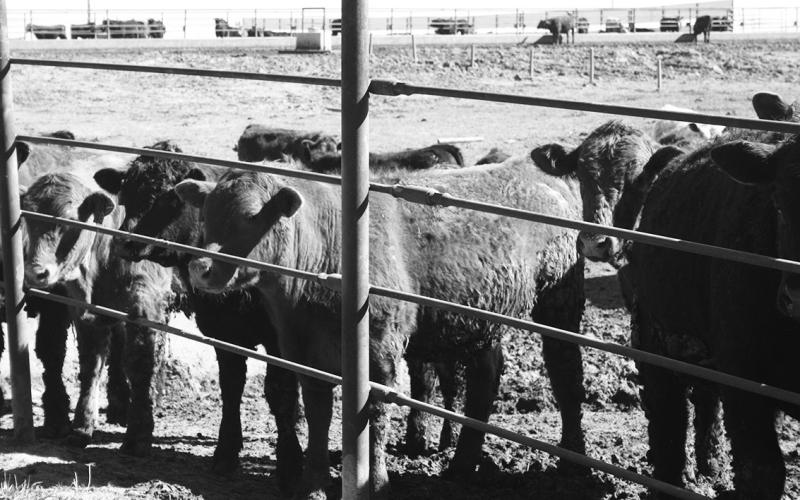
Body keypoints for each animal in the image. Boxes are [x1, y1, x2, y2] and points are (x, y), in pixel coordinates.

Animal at [20, 160, 173, 456]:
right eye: (27, 217)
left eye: (69, 220)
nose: (36, 273)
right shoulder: (85, 311)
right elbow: (91, 363)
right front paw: (81, 427)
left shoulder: (144, 301)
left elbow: (140, 360)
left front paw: (138, 435)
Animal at [92, 142, 303, 493]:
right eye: (126, 192)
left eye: (171, 198)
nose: (126, 242)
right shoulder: (224, 333)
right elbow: (231, 387)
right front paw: (226, 454)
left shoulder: (280, 341)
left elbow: (280, 392)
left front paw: (290, 464)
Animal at [175, 157, 587, 498]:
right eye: (206, 215)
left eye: (250, 216)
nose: (200, 267)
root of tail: (535, 169)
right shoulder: (303, 352)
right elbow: (318, 413)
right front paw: (313, 484)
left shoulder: (378, 352)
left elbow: (373, 417)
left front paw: (374, 483)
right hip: (482, 321)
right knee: (486, 378)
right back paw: (461, 465)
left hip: (559, 301)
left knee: (565, 370)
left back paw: (573, 458)